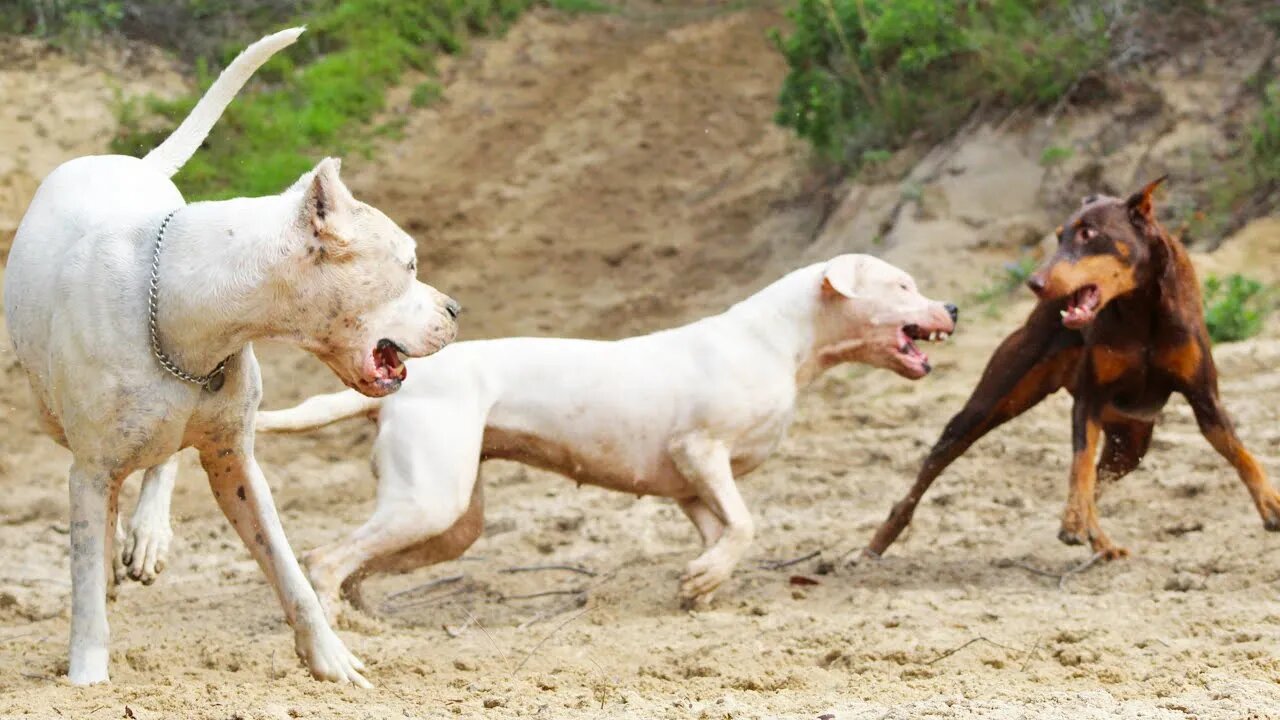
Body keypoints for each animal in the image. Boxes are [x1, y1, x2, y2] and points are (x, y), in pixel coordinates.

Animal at [1, 28, 455, 686]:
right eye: (411, 263)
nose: (456, 309)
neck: (181, 307)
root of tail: (131, 162)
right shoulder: (88, 470)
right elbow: (85, 593)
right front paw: (87, 678)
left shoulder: (236, 464)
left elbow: (288, 571)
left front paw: (330, 658)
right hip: (54, 420)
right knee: (110, 505)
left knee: (161, 462)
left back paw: (148, 532)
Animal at [244, 251, 957, 609]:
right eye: (902, 284)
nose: (950, 305)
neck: (783, 339)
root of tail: (403, 384)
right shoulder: (702, 451)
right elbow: (748, 525)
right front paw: (705, 578)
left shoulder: (693, 487)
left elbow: (726, 534)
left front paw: (702, 586)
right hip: (428, 500)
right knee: (326, 559)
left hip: (447, 519)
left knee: (359, 563)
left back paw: (368, 620)